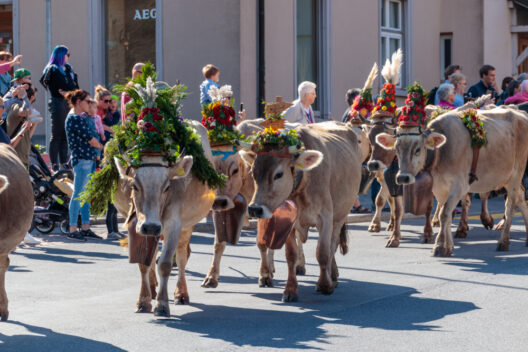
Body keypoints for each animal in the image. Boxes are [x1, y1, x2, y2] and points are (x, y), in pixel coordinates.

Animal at [114, 121, 217, 316]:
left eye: (167, 186)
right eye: (134, 185)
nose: (151, 227)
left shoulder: (174, 224)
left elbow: (166, 263)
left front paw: (162, 305)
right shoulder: (138, 225)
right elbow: (144, 263)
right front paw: (143, 300)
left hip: (187, 225)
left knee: (183, 254)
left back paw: (181, 294)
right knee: (154, 255)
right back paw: (153, 288)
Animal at [240, 122, 360, 302]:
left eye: (279, 174)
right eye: (253, 173)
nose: (255, 209)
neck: (303, 181)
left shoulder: (326, 217)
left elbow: (323, 252)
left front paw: (325, 285)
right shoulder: (288, 221)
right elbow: (290, 255)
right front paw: (290, 290)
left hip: (340, 215)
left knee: (333, 244)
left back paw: (332, 276)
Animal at [378, 104, 528, 256]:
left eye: (418, 149)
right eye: (396, 149)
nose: (402, 177)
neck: (439, 152)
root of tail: (520, 112)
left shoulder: (459, 186)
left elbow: (444, 214)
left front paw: (439, 246)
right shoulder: (439, 188)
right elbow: (447, 215)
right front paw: (448, 245)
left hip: (516, 174)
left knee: (510, 206)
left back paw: (503, 242)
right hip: (507, 178)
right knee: (521, 198)